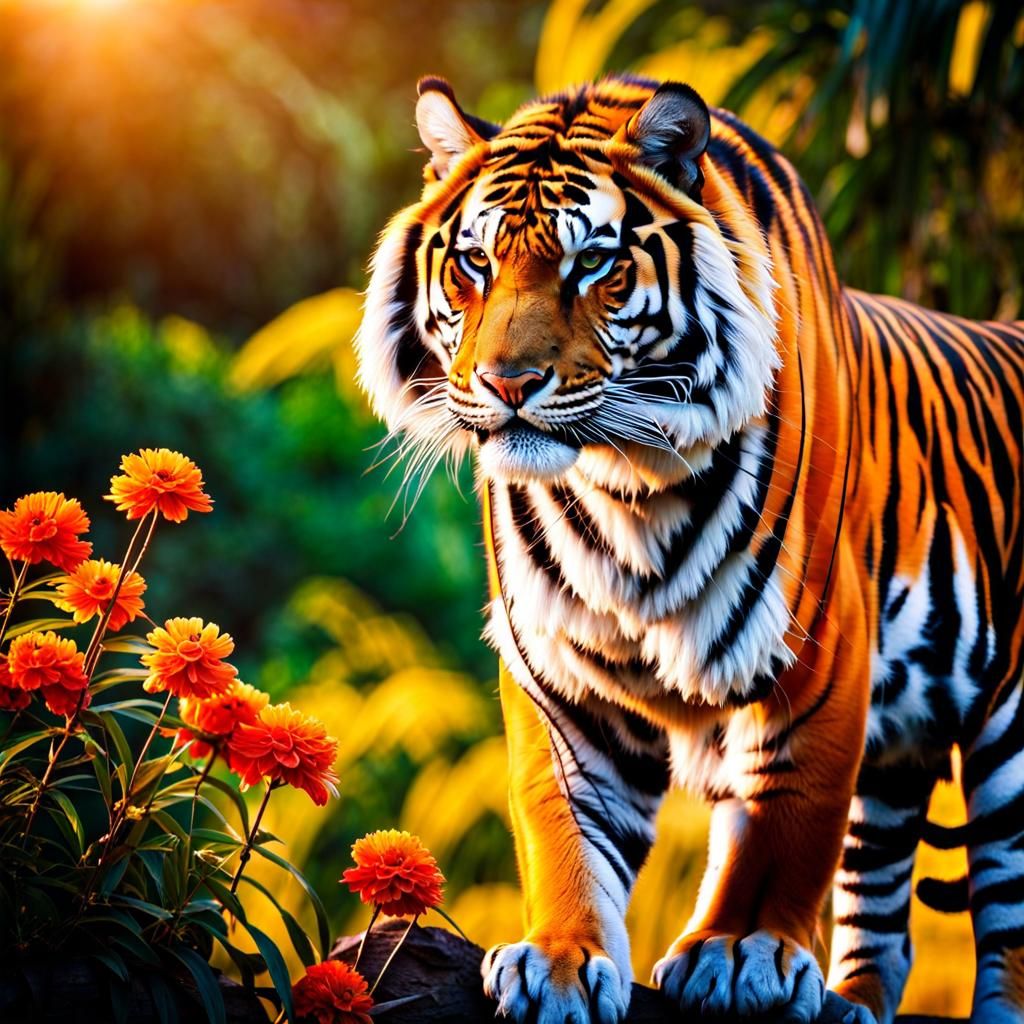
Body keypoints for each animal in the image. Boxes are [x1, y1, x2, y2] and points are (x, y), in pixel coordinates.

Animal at [354, 73, 1024, 1024]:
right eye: (474, 263)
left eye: (592, 264)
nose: (507, 384)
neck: (621, 480)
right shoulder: (557, 671)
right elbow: (561, 824)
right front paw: (560, 961)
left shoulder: (819, 651)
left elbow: (785, 819)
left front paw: (739, 951)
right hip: (899, 757)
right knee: (882, 918)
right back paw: (851, 1001)